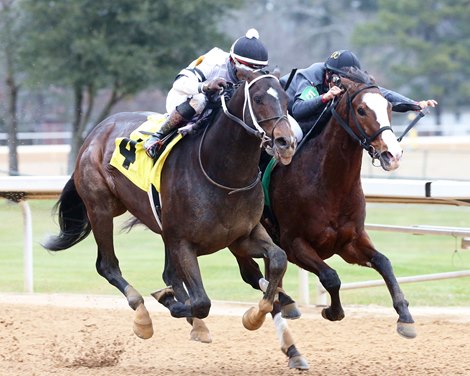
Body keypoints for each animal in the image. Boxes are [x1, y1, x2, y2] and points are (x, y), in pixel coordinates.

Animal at [43, 69, 298, 346]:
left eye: (286, 99)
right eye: (259, 99)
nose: (286, 142)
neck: (223, 174)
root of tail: (96, 131)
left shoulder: (241, 236)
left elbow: (278, 259)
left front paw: (257, 314)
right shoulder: (182, 242)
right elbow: (201, 302)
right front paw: (170, 301)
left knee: (167, 274)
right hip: (100, 208)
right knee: (107, 266)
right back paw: (143, 316)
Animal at [260, 66, 418, 342]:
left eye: (388, 107)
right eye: (361, 110)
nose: (393, 155)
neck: (328, 183)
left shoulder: (349, 241)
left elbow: (384, 263)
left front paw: (405, 316)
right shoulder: (294, 243)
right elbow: (331, 277)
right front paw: (333, 311)